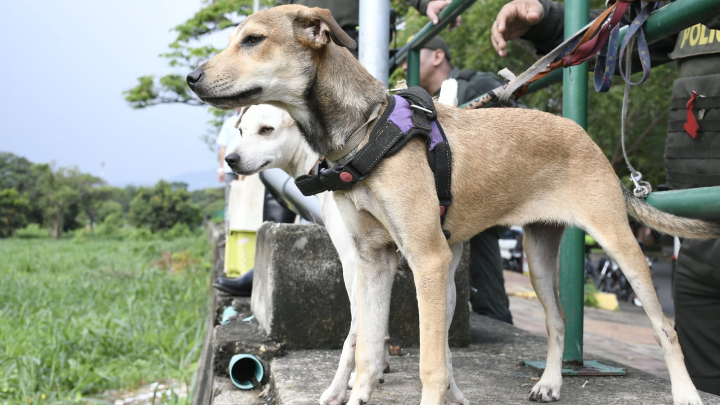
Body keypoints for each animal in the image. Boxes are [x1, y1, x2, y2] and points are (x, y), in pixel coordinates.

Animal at [187, 4, 720, 402]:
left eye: (253, 40)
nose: (191, 77)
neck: (366, 129)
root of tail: (582, 134)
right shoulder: (374, 260)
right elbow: (366, 351)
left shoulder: (428, 258)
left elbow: (431, 363)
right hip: (538, 254)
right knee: (556, 320)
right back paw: (549, 383)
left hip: (620, 245)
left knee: (665, 327)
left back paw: (685, 394)